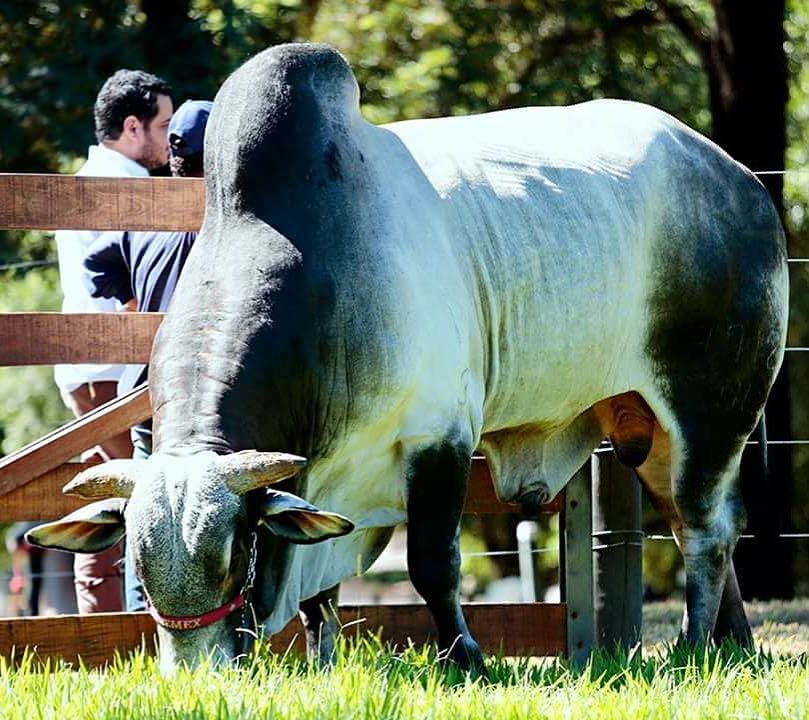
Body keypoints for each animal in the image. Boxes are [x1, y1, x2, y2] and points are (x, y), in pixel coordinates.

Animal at [28, 45, 784, 672]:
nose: (194, 674)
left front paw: (466, 659)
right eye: (135, 555)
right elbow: (320, 592)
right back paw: (734, 645)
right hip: (642, 422)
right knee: (691, 523)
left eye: (234, 550)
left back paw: (692, 646)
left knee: (707, 526)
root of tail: (737, 177)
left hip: (710, 408)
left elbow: (431, 564)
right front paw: (322, 663)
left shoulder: (438, 435)